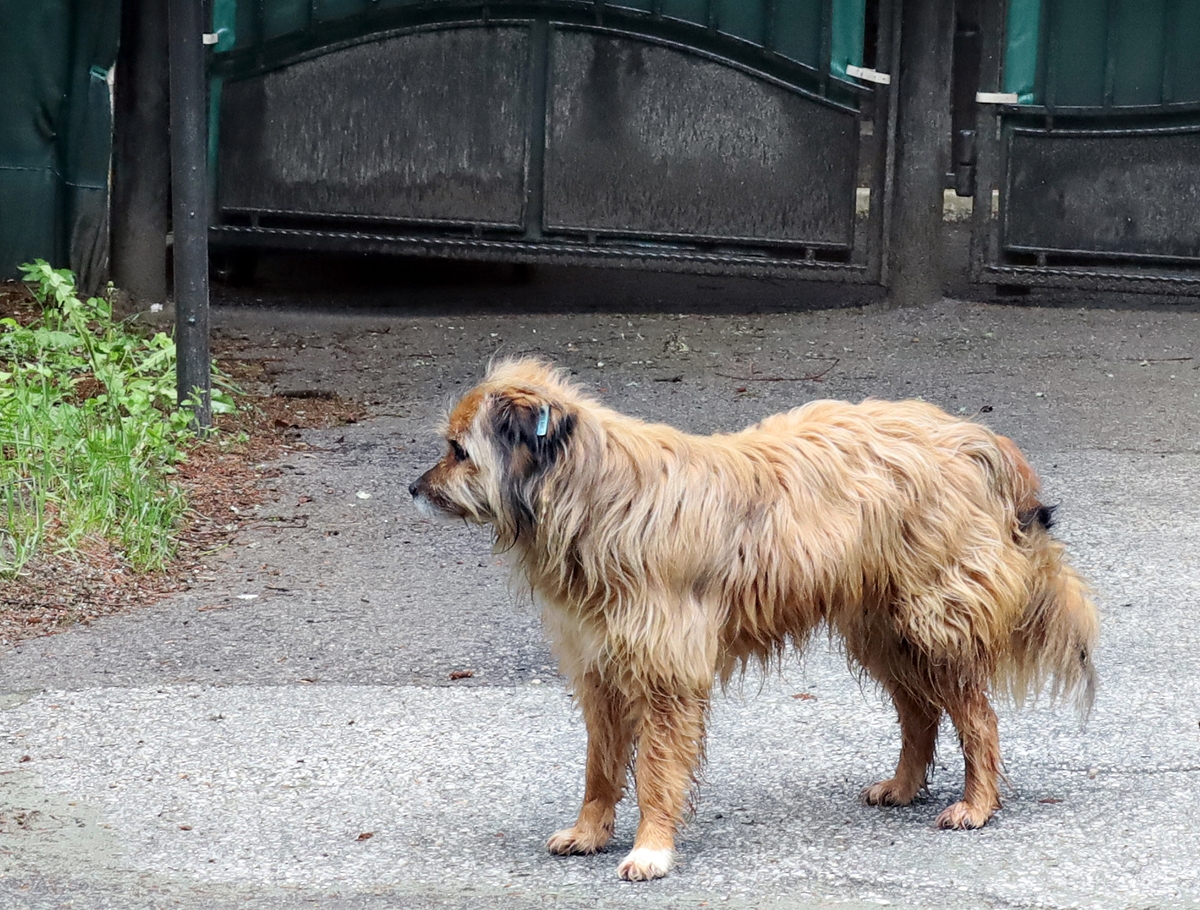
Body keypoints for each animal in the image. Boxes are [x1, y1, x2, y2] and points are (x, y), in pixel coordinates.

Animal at [410, 357, 1099, 883]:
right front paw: (588, 831)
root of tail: (972, 438)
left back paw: (977, 804)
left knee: (976, 716)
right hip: (885, 629)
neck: (593, 496)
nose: (413, 489)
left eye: (458, 450)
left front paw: (651, 849)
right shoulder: (599, 669)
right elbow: (601, 766)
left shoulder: (667, 674)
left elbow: (656, 770)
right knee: (920, 712)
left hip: (933, 621)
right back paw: (904, 786)